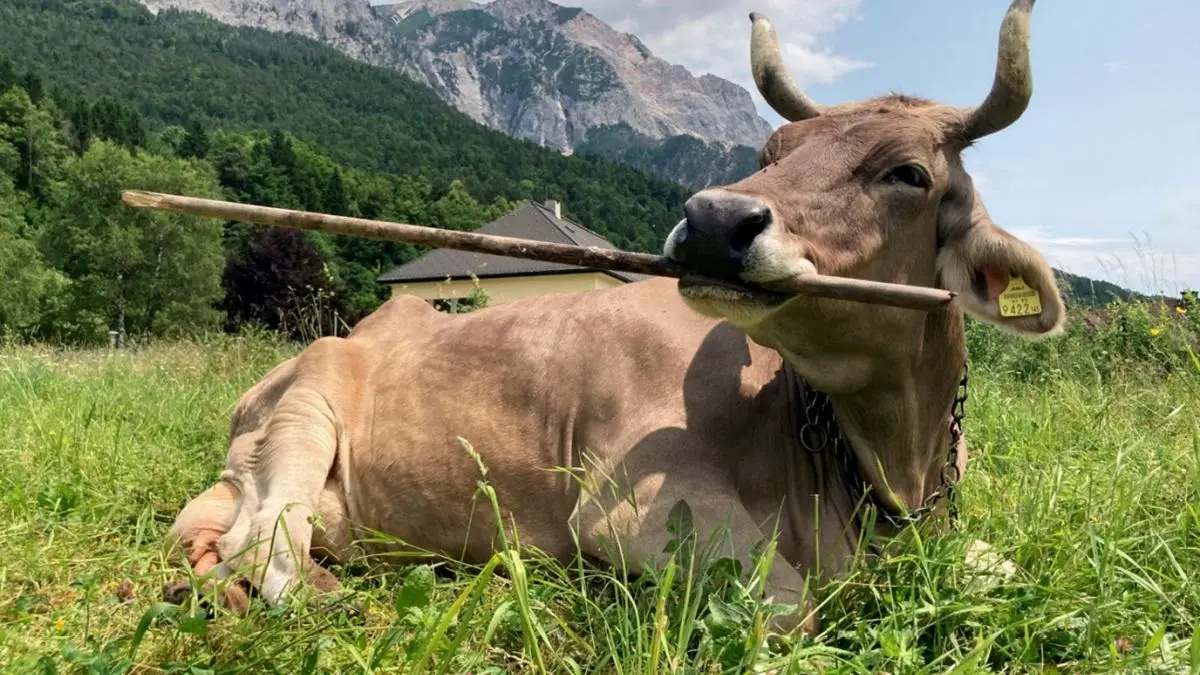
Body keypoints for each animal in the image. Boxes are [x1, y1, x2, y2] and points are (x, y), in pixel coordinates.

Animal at [162, 0, 1064, 636]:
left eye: (909, 173)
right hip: (308, 404)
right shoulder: (635, 509)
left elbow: (1015, 572)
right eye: (771, 154)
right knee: (265, 541)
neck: (884, 466)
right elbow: (791, 607)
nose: (712, 220)